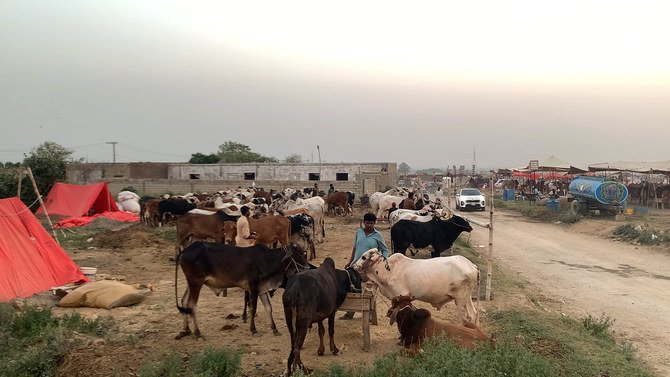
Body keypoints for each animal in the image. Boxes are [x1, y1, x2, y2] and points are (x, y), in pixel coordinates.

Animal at [173, 241, 310, 338]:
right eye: (299, 253)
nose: (307, 268)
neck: (267, 260)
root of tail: (184, 251)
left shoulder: (262, 288)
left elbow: (268, 308)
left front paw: (275, 329)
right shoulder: (253, 287)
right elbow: (252, 308)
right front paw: (253, 330)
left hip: (190, 283)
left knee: (184, 301)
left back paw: (186, 330)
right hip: (196, 282)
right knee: (192, 305)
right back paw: (197, 333)